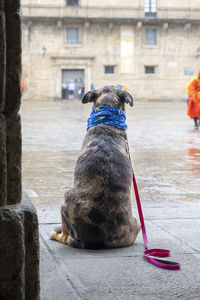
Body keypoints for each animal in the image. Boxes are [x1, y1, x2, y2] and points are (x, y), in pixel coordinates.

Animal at [50, 86, 140, 248]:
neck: (107, 123)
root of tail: (100, 240)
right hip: (137, 224)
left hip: (65, 201)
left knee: (65, 237)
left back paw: (56, 233)